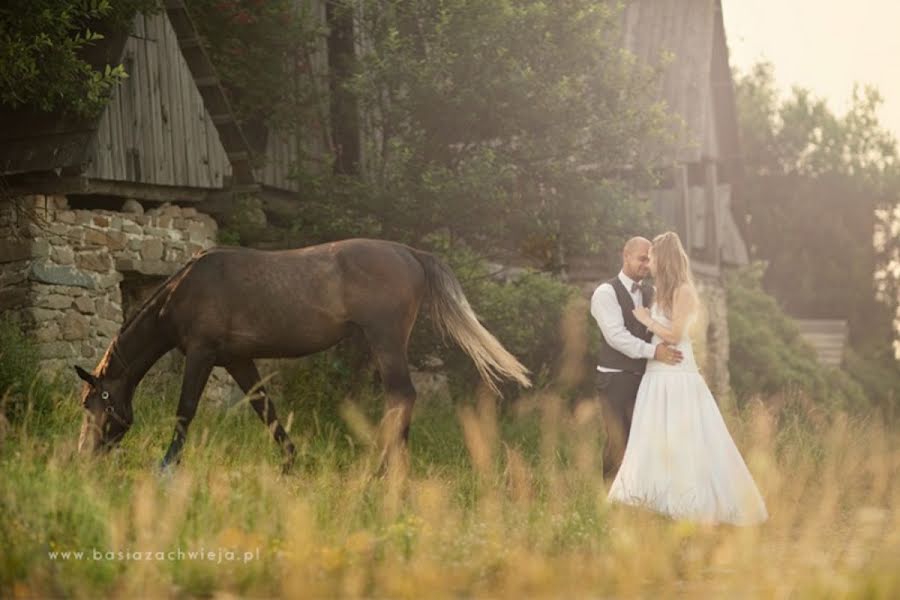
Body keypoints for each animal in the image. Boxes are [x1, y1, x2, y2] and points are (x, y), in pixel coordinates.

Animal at [74, 237, 532, 472]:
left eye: (95, 402)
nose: (85, 455)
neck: (185, 290)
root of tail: (410, 254)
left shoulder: (201, 355)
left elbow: (185, 409)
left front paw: (167, 466)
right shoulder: (237, 360)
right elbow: (267, 410)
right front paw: (291, 462)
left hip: (385, 341)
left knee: (402, 396)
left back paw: (384, 470)